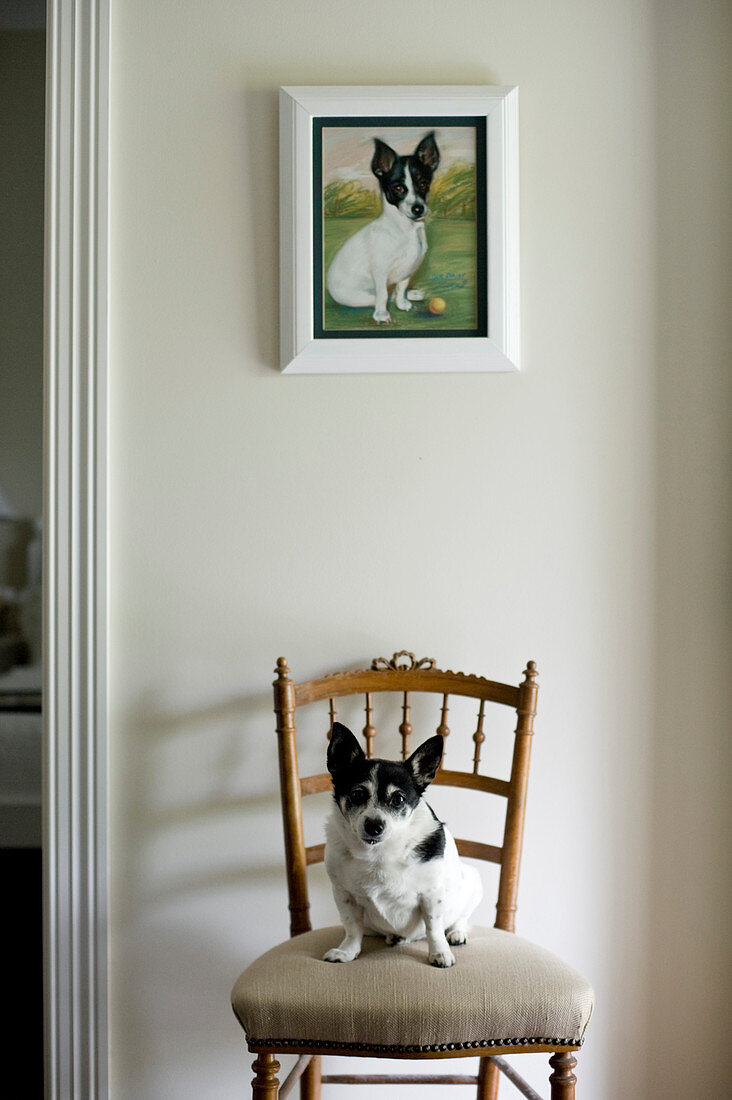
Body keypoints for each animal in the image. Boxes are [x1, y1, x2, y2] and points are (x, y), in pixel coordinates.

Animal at [323, 726, 482, 968]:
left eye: (398, 799)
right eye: (357, 794)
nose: (374, 825)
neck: (377, 853)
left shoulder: (431, 895)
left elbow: (434, 928)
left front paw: (439, 953)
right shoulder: (344, 894)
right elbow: (352, 927)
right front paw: (347, 951)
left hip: (473, 882)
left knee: (459, 918)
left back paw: (457, 933)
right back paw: (396, 937)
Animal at [325, 130, 440, 323]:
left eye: (423, 184)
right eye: (398, 188)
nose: (418, 208)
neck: (406, 230)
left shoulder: (407, 270)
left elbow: (401, 289)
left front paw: (403, 303)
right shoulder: (380, 272)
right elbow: (383, 295)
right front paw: (381, 314)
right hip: (360, 297)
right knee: (381, 295)